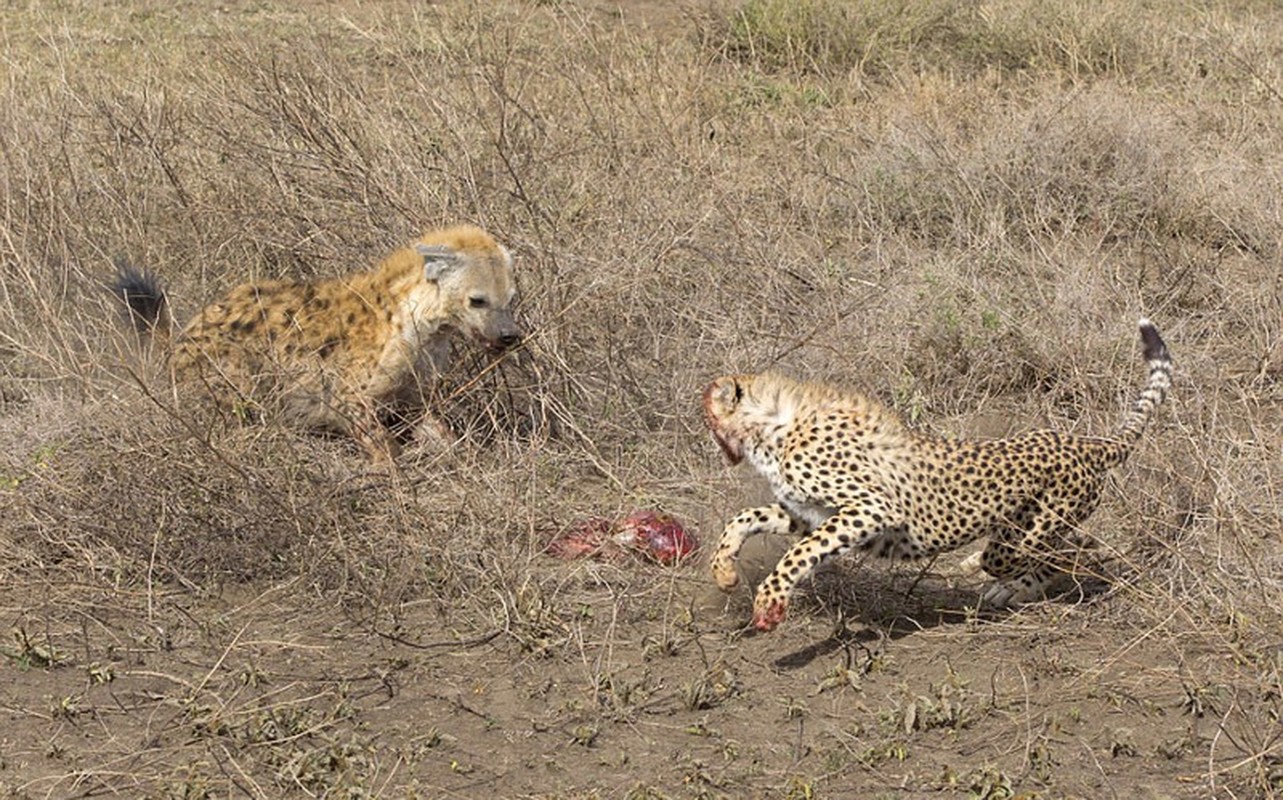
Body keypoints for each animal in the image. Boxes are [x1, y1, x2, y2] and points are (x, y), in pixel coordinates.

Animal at [115, 226, 523, 461]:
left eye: (510, 299)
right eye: (477, 300)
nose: (509, 335)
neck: (423, 328)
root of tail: (181, 339)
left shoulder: (414, 394)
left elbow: (444, 435)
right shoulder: (348, 396)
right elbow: (382, 445)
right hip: (233, 381)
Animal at [703, 319, 1175, 630]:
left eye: (709, 411)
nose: (705, 432)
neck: (774, 425)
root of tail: (1087, 442)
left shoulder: (872, 508)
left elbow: (797, 554)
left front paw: (769, 600)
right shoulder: (814, 514)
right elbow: (745, 518)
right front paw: (724, 570)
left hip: (1032, 530)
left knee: (1060, 553)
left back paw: (1008, 581)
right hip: (1024, 527)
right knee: (1064, 548)